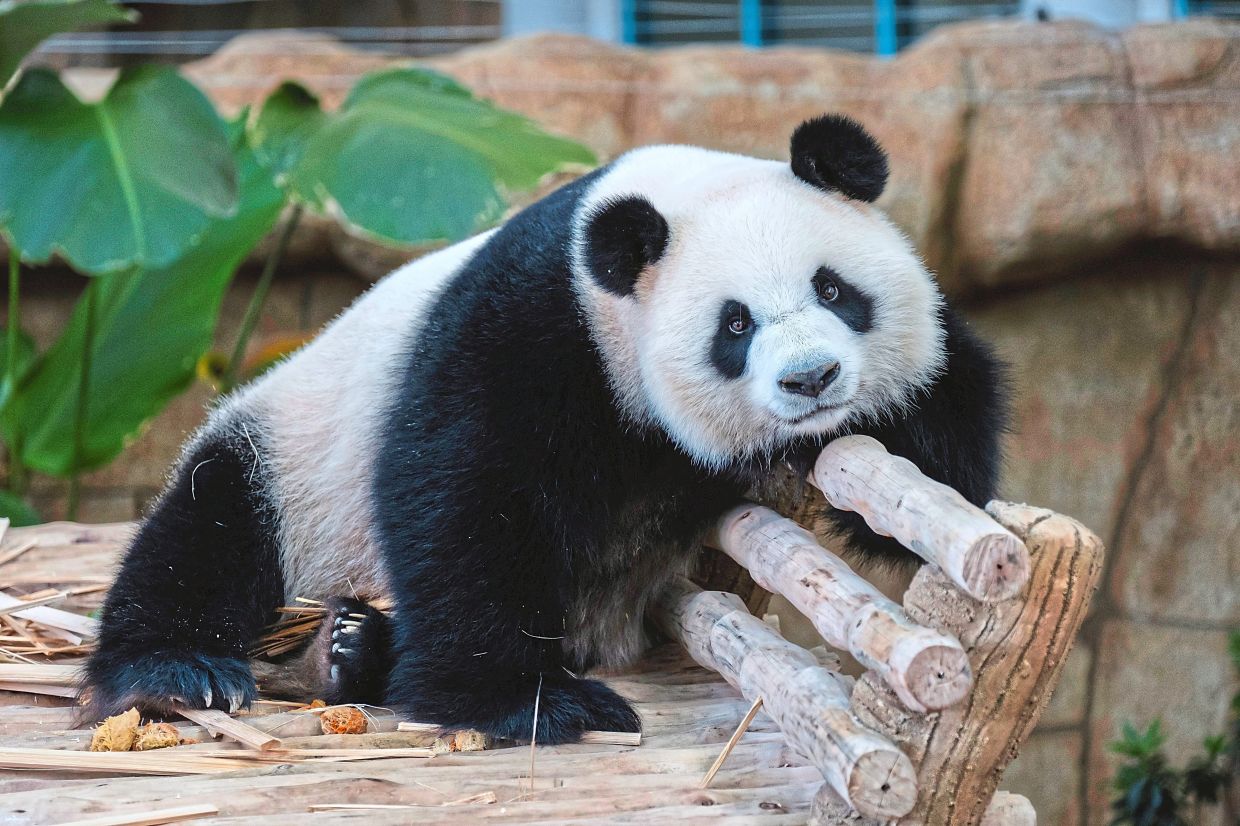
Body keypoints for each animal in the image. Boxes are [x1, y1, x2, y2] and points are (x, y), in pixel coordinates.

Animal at [83, 115, 1006, 744]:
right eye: (735, 324)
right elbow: (462, 496)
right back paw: (187, 669)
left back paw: (354, 648)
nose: (811, 379)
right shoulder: (531, 324)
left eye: (834, 289)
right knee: (210, 528)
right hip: (292, 446)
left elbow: (935, 465)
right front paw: (532, 703)